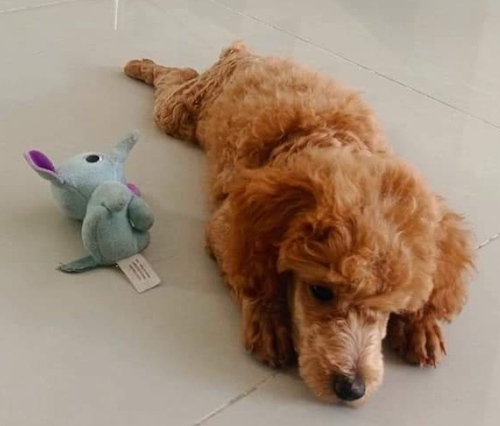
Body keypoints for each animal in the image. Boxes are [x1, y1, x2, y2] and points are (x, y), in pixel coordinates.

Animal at [123, 41, 474, 404]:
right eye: (320, 291)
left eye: (390, 305)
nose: (351, 389)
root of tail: (244, 54)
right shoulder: (227, 224)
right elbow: (253, 275)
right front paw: (269, 319)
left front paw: (421, 325)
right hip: (179, 111)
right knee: (174, 78)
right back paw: (140, 65)